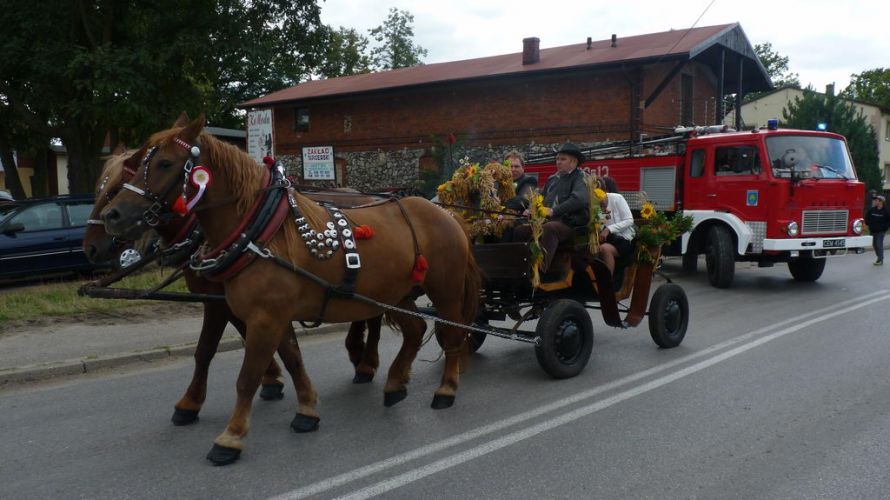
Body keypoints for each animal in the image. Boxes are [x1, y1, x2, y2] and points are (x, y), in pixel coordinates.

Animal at [99, 113, 478, 464]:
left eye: (164, 163)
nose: (112, 216)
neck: (261, 233)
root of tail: (444, 212)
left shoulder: (263, 318)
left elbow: (246, 377)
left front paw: (230, 437)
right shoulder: (273, 316)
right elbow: (293, 360)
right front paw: (307, 410)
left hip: (444, 290)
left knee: (453, 334)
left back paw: (446, 389)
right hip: (396, 294)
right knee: (415, 331)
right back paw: (395, 382)